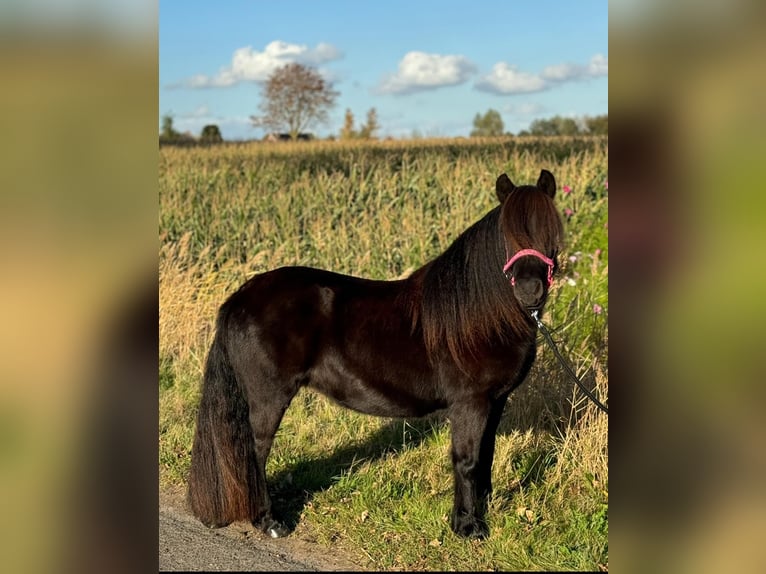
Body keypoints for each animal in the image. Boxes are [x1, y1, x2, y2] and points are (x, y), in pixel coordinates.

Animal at [190, 170, 568, 540]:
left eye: (552, 233)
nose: (530, 292)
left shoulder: (496, 400)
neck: (482, 317)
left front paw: (483, 509)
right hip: (268, 398)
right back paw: (269, 522)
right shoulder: (470, 402)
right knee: (255, 452)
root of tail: (239, 298)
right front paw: (467, 527)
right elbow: (467, 460)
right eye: (508, 236)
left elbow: (486, 454)